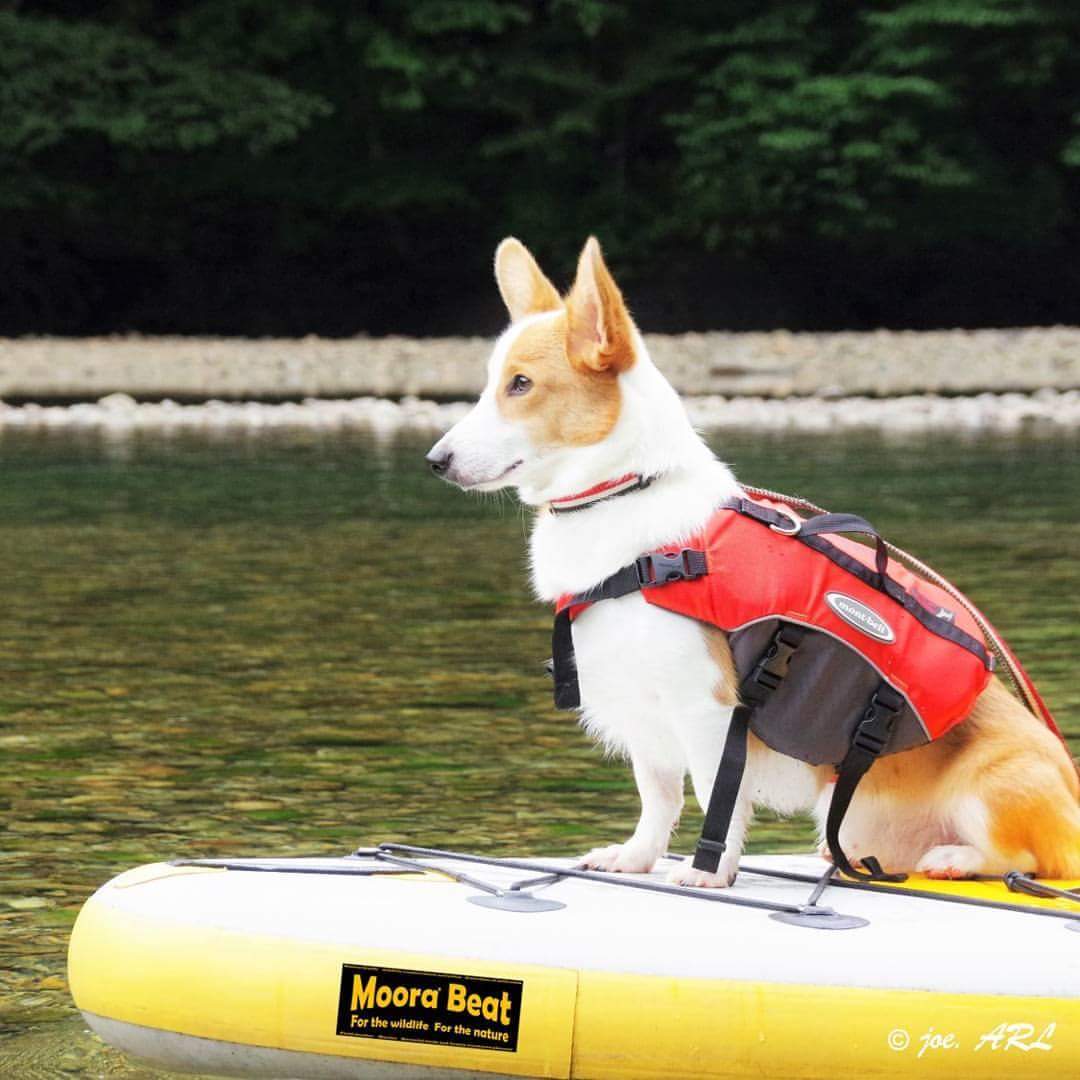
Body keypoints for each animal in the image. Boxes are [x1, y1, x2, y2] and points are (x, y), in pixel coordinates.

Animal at [427, 236, 1080, 885]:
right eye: (490, 385)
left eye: (521, 384)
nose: (435, 461)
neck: (622, 495)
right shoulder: (645, 718)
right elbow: (657, 799)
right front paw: (634, 858)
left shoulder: (707, 711)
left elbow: (717, 799)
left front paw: (709, 873)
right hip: (849, 820)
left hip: (995, 786)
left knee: (1031, 860)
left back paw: (955, 858)